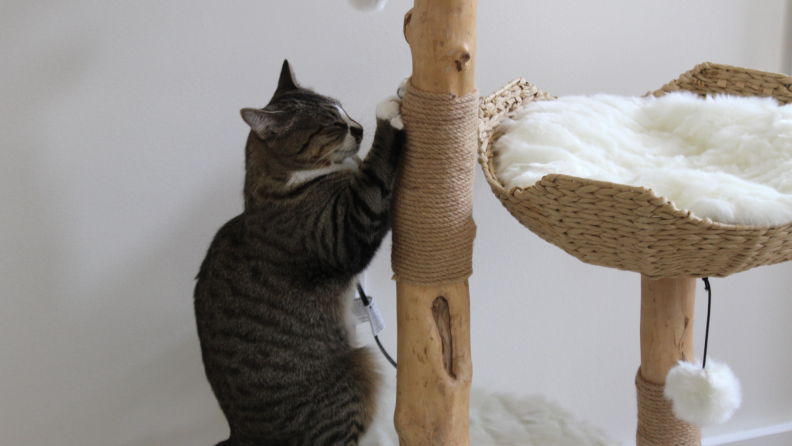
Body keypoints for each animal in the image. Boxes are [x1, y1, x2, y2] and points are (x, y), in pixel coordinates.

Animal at [192, 60, 402, 446]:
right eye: (333, 124)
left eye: (344, 110)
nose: (358, 128)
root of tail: (237, 433)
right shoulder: (343, 230)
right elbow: (374, 175)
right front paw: (389, 113)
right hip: (357, 375)